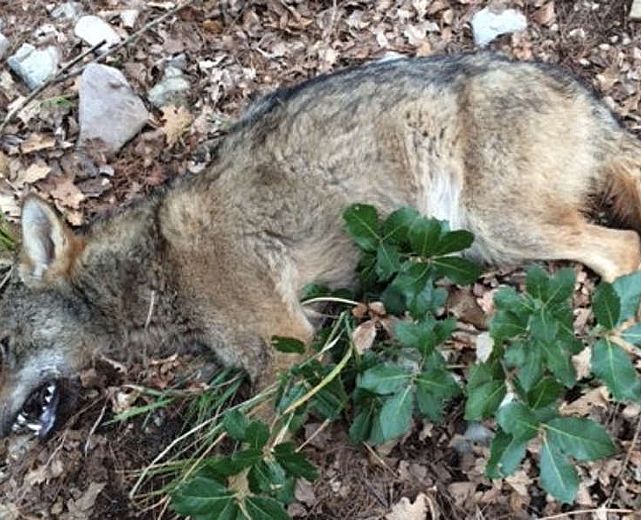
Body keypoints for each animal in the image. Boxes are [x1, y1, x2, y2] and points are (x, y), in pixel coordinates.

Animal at [1, 53, 641, 438]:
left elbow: (241, 454)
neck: (158, 267)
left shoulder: (287, 350)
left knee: (624, 249)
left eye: (4, 345)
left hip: (499, 229)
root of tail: (590, 100)